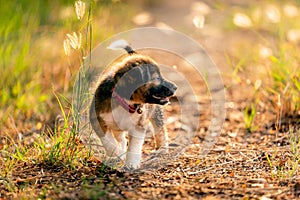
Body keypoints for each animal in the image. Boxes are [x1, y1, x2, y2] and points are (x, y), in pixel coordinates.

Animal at [90, 40, 177, 169]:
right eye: (157, 78)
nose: (176, 87)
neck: (125, 102)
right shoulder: (97, 120)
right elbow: (108, 141)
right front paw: (116, 154)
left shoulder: (138, 126)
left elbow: (134, 146)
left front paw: (131, 164)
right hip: (115, 125)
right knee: (121, 139)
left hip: (155, 113)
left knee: (160, 131)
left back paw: (162, 150)